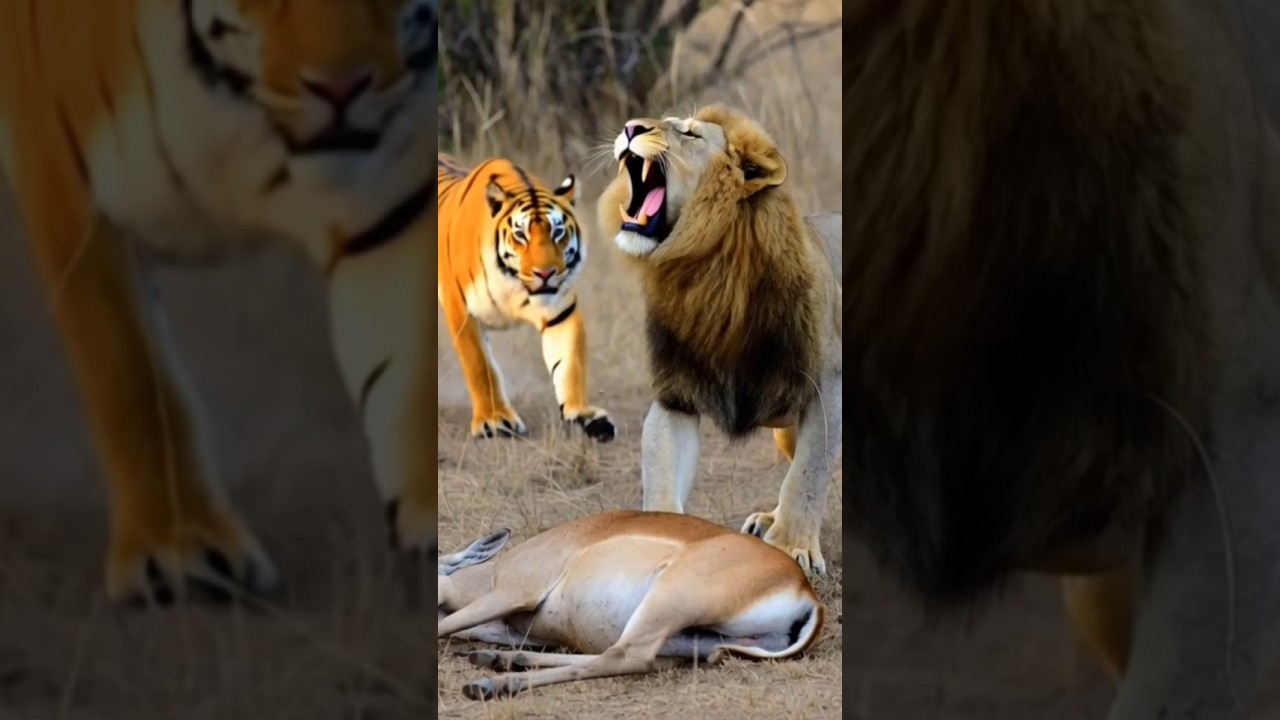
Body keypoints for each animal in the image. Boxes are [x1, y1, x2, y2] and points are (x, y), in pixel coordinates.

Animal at [0, 0, 439, 605]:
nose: (341, 89)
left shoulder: (393, 205)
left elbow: (411, 373)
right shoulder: (74, 188)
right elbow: (133, 379)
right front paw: (176, 549)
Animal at [437, 154, 615, 444]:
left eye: (557, 232)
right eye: (521, 234)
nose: (545, 273)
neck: (513, 282)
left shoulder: (560, 312)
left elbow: (570, 365)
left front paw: (584, 415)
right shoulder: (462, 310)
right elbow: (480, 366)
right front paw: (494, 421)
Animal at [596, 104, 843, 578]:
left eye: (690, 133)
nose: (630, 128)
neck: (708, 270)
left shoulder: (828, 388)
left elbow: (807, 475)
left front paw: (792, 547)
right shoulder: (677, 392)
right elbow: (661, 472)